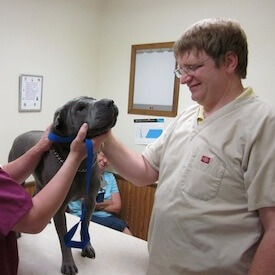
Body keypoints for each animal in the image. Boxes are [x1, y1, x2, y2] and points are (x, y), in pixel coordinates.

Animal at [8, 96, 118, 274]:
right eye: (80, 108)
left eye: (94, 99)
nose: (110, 102)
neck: (80, 165)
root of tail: (19, 136)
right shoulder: (59, 207)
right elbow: (64, 238)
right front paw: (68, 264)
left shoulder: (90, 200)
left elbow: (85, 225)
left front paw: (86, 246)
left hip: (41, 183)